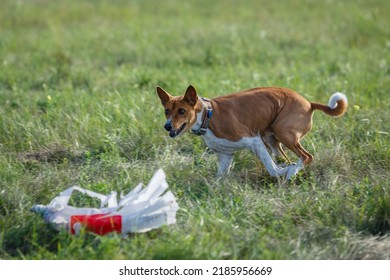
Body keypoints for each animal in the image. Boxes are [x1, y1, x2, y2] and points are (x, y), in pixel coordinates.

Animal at [156, 84, 348, 179]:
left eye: (181, 111)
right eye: (166, 111)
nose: (167, 126)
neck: (208, 115)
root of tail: (309, 103)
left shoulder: (254, 141)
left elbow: (272, 169)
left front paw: (283, 172)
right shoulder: (225, 156)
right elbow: (219, 178)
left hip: (283, 133)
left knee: (306, 157)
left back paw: (291, 172)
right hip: (272, 139)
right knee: (290, 158)